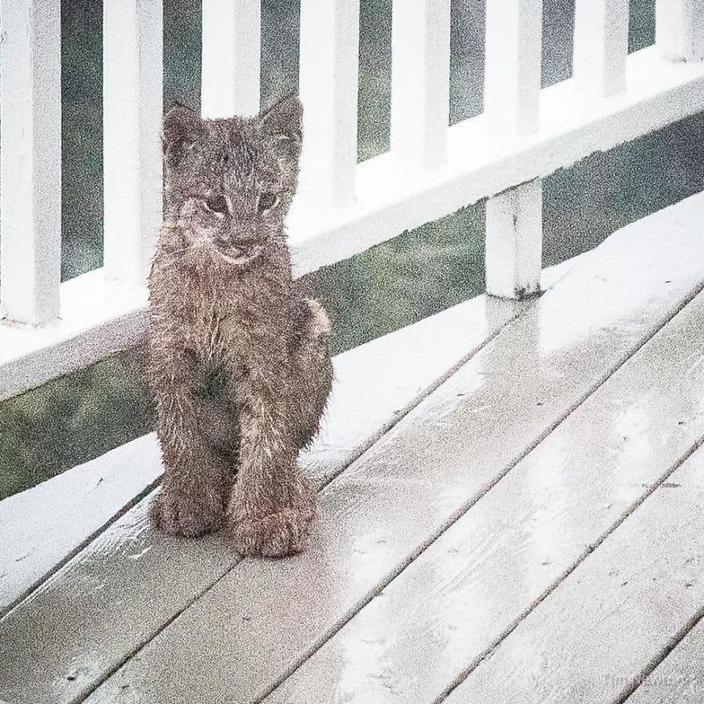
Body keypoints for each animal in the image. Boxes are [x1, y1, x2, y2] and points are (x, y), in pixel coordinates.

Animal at [148, 95, 332, 556]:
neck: (217, 275)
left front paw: (263, 516)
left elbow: (266, 438)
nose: (247, 241)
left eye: (267, 199)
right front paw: (190, 500)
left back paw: (291, 490)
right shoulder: (170, 354)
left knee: (286, 447)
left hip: (314, 324)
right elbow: (180, 433)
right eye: (216, 203)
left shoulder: (263, 358)